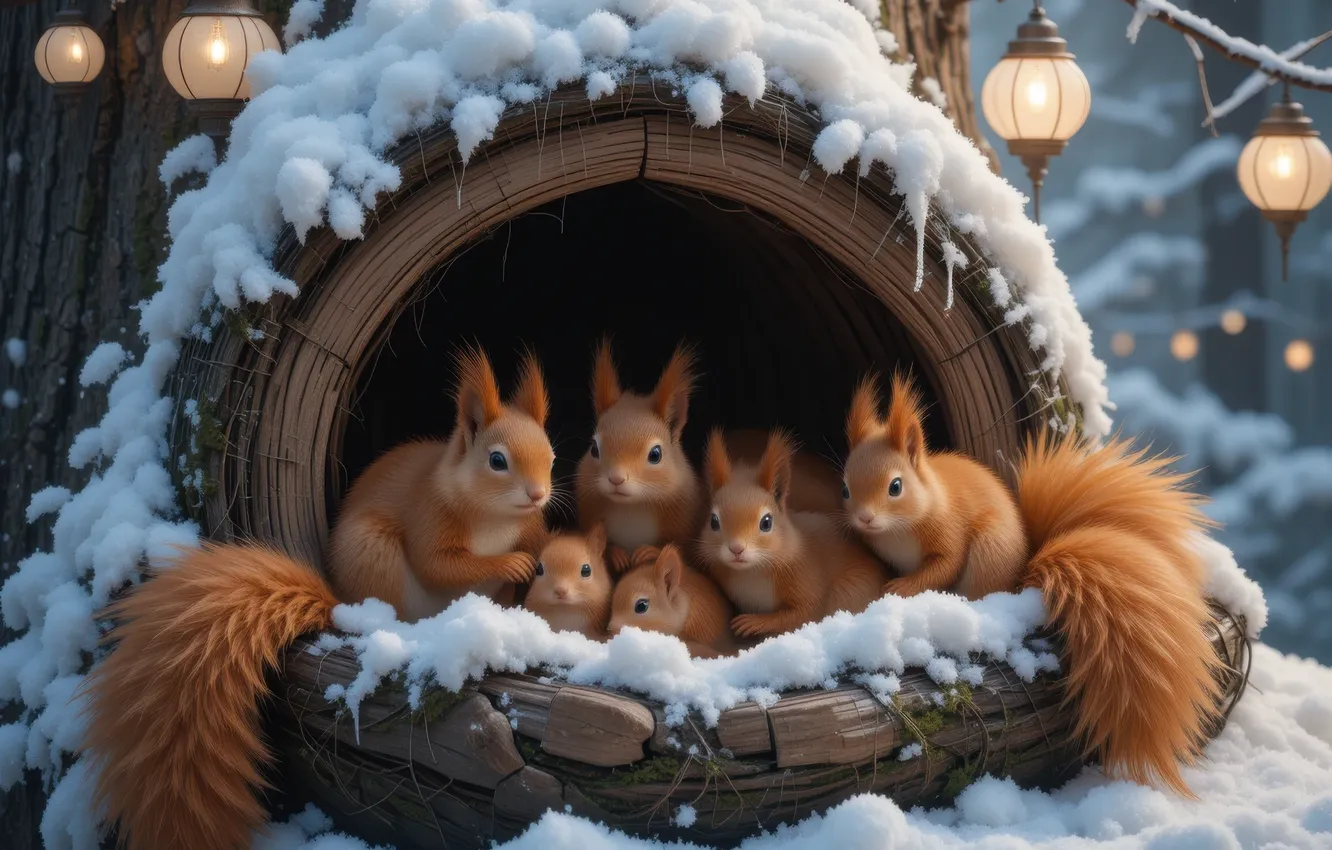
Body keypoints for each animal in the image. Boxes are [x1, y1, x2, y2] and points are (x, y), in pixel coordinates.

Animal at [79, 346, 556, 850]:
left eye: (551, 455)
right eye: (497, 460)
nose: (538, 494)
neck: (495, 518)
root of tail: (340, 602)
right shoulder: (430, 515)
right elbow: (438, 565)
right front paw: (512, 564)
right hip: (374, 555)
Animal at [576, 339, 845, 572]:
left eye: (655, 454)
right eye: (594, 448)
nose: (616, 479)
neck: (631, 507)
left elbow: (682, 550)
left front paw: (650, 552)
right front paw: (616, 555)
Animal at [696, 428, 888, 640]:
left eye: (766, 522)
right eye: (713, 521)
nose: (736, 548)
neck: (752, 571)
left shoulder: (806, 577)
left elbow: (804, 613)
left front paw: (753, 622)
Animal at [840, 371, 1028, 600]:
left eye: (895, 487)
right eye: (845, 490)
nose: (865, 518)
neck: (896, 529)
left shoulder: (949, 528)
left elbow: (946, 565)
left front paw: (898, 587)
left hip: (992, 550)